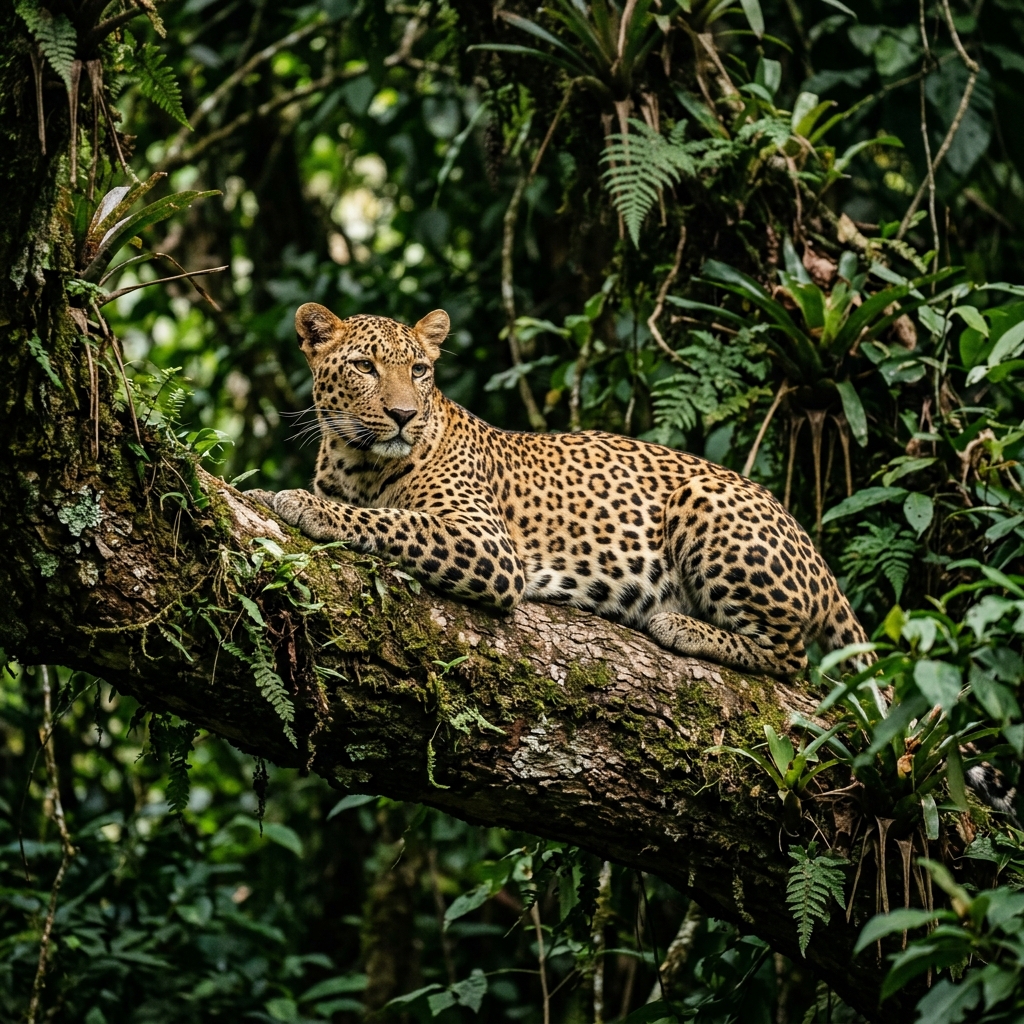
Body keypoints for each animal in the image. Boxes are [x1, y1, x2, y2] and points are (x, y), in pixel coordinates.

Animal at [248, 302, 869, 678]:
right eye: (364, 366)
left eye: (419, 370)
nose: (403, 416)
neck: (357, 462)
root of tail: (815, 555)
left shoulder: (488, 545)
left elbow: (393, 520)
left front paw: (305, 504)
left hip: (703, 499)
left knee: (791, 659)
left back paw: (681, 627)